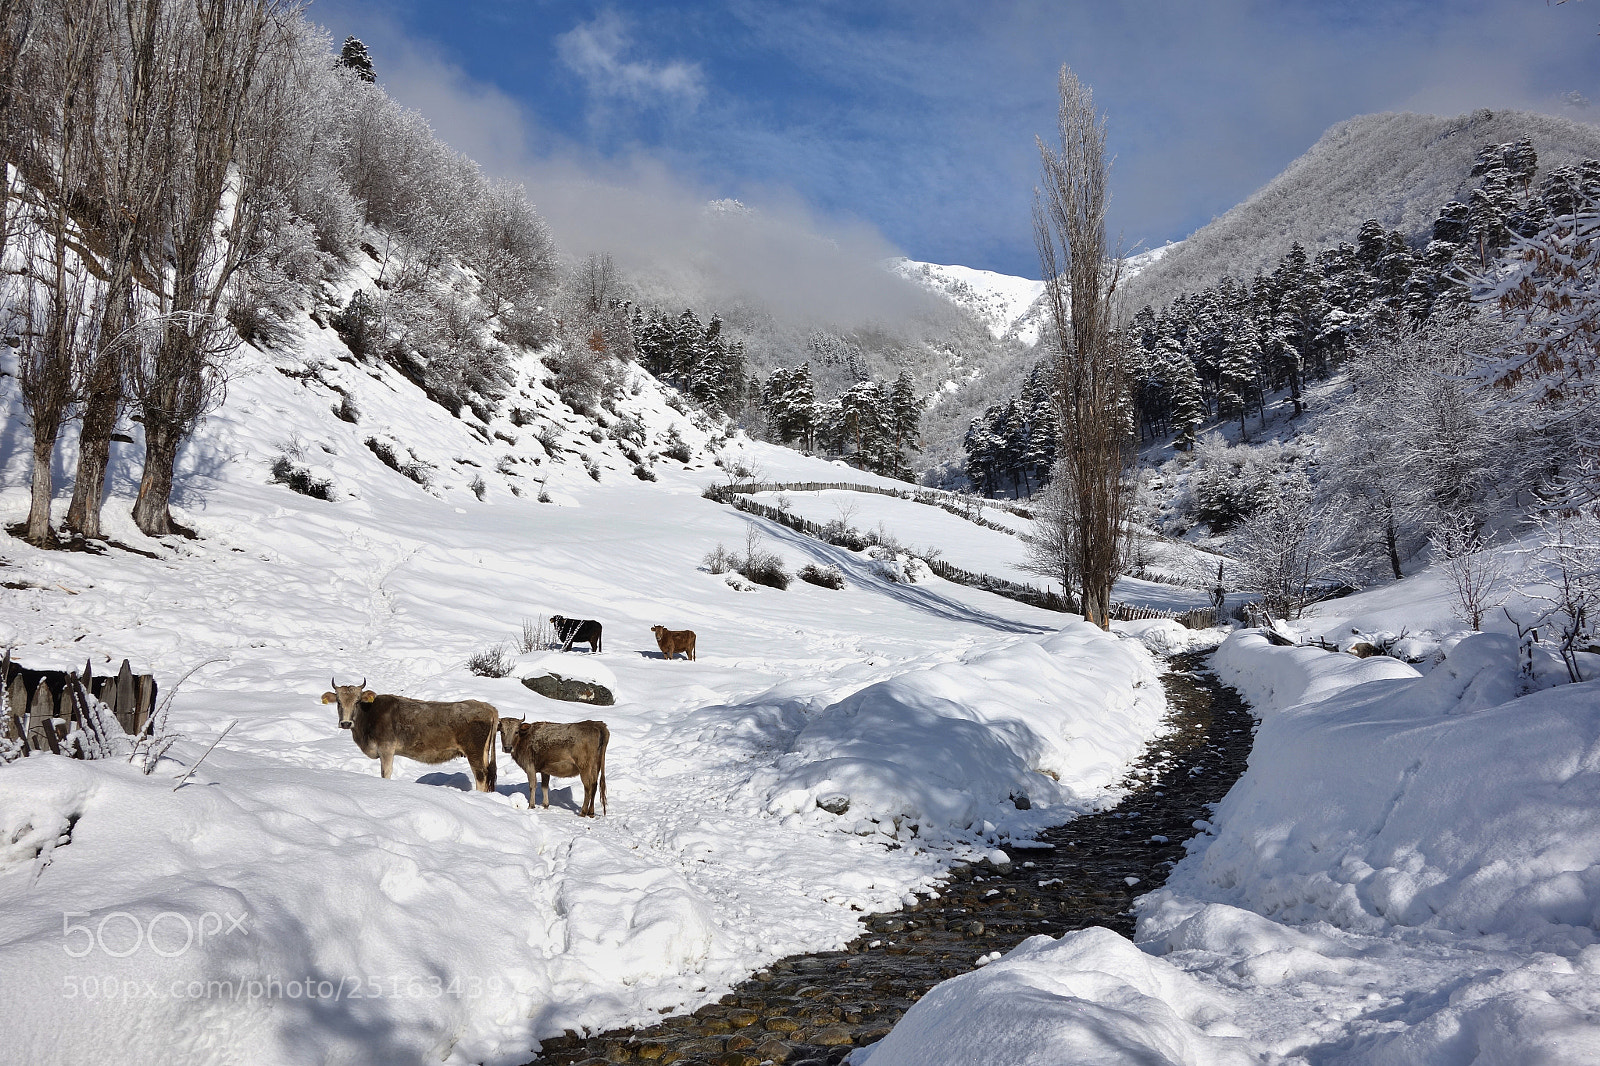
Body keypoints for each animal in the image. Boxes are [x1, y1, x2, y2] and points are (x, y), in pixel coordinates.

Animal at [322, 679, 498, 792]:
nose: (346, 723)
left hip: (474, 752)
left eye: (357, 701)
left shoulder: (386, 748)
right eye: (338, 701)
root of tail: (488, 707)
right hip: (483, 752)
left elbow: (386, 773)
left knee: (481, 776)